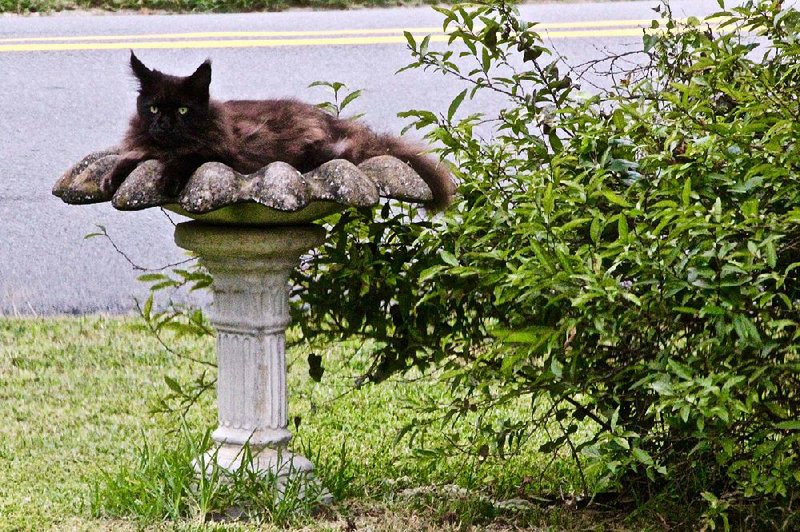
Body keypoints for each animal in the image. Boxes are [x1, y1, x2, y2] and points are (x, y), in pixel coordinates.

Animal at [100, 52, 454, 210]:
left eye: (183, 111)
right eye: (153, 108)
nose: (163, 123)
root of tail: (331, 120)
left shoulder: (220, 152)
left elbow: (184, 158)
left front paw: (167, 178)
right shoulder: (143, 146)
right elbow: (130, 157)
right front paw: (111, 179)